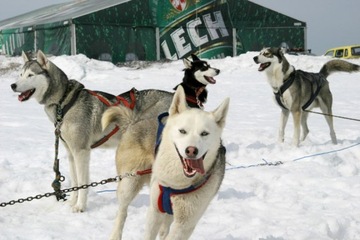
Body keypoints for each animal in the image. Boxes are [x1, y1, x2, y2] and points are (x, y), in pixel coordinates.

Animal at [143, 86, 228, 240]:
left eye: (204, 133)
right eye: (182, 131)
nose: (191, 150)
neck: (174, 185)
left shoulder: (184, 224)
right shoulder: (154, 211)